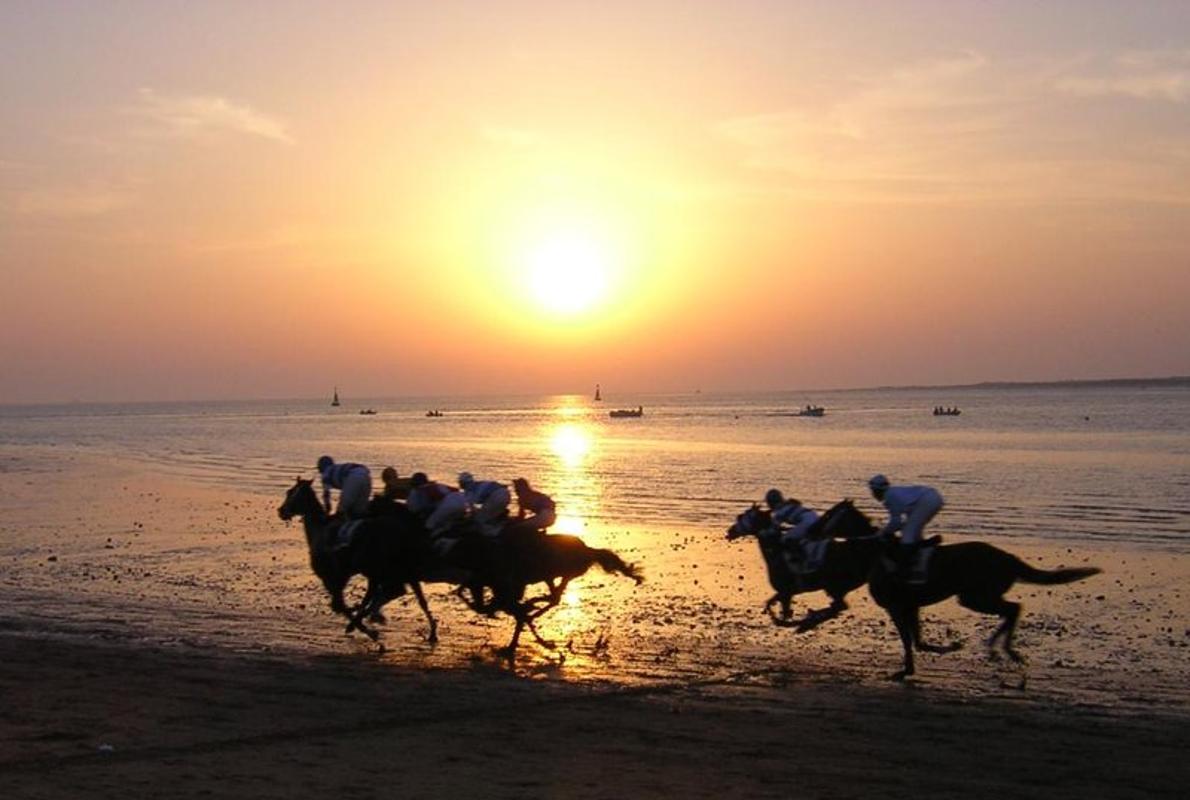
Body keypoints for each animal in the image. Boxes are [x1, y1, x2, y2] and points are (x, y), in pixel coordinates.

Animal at [723, 507, 885, 633]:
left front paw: (799, 622)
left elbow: (781, 616)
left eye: (742, 517)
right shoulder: (785, 593)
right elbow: (771, 605)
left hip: (834, 588)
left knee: (838, 606)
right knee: (837, 607)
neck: (777, 552)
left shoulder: (786, 592)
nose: (730, 531)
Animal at [823, 502, 1099, 676]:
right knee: (1011, 610)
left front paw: (914, 665)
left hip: (975, 596)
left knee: (1013, 608)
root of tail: (1009, 558)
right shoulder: (911, 606)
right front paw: (928, 658)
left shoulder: (896, 606)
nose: (816, 529)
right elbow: (917, 640)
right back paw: (997, 648)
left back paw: (1003, 649)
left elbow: (909, 639)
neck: (881, 554)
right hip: (977, 596)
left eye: (829, 515)